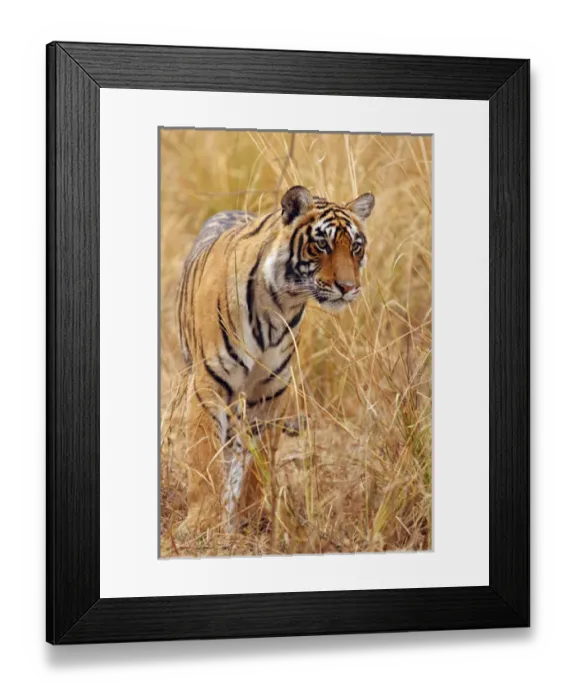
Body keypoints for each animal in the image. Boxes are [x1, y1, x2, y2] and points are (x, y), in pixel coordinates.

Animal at [175, 185, 375, 540]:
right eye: (321, 245)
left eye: (355, 247)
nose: (349, 288)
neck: (279, 303)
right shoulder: (207, 384)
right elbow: (203, 456)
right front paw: (201, 524)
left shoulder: (270, 390)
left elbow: (259, 460)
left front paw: (252, 519)